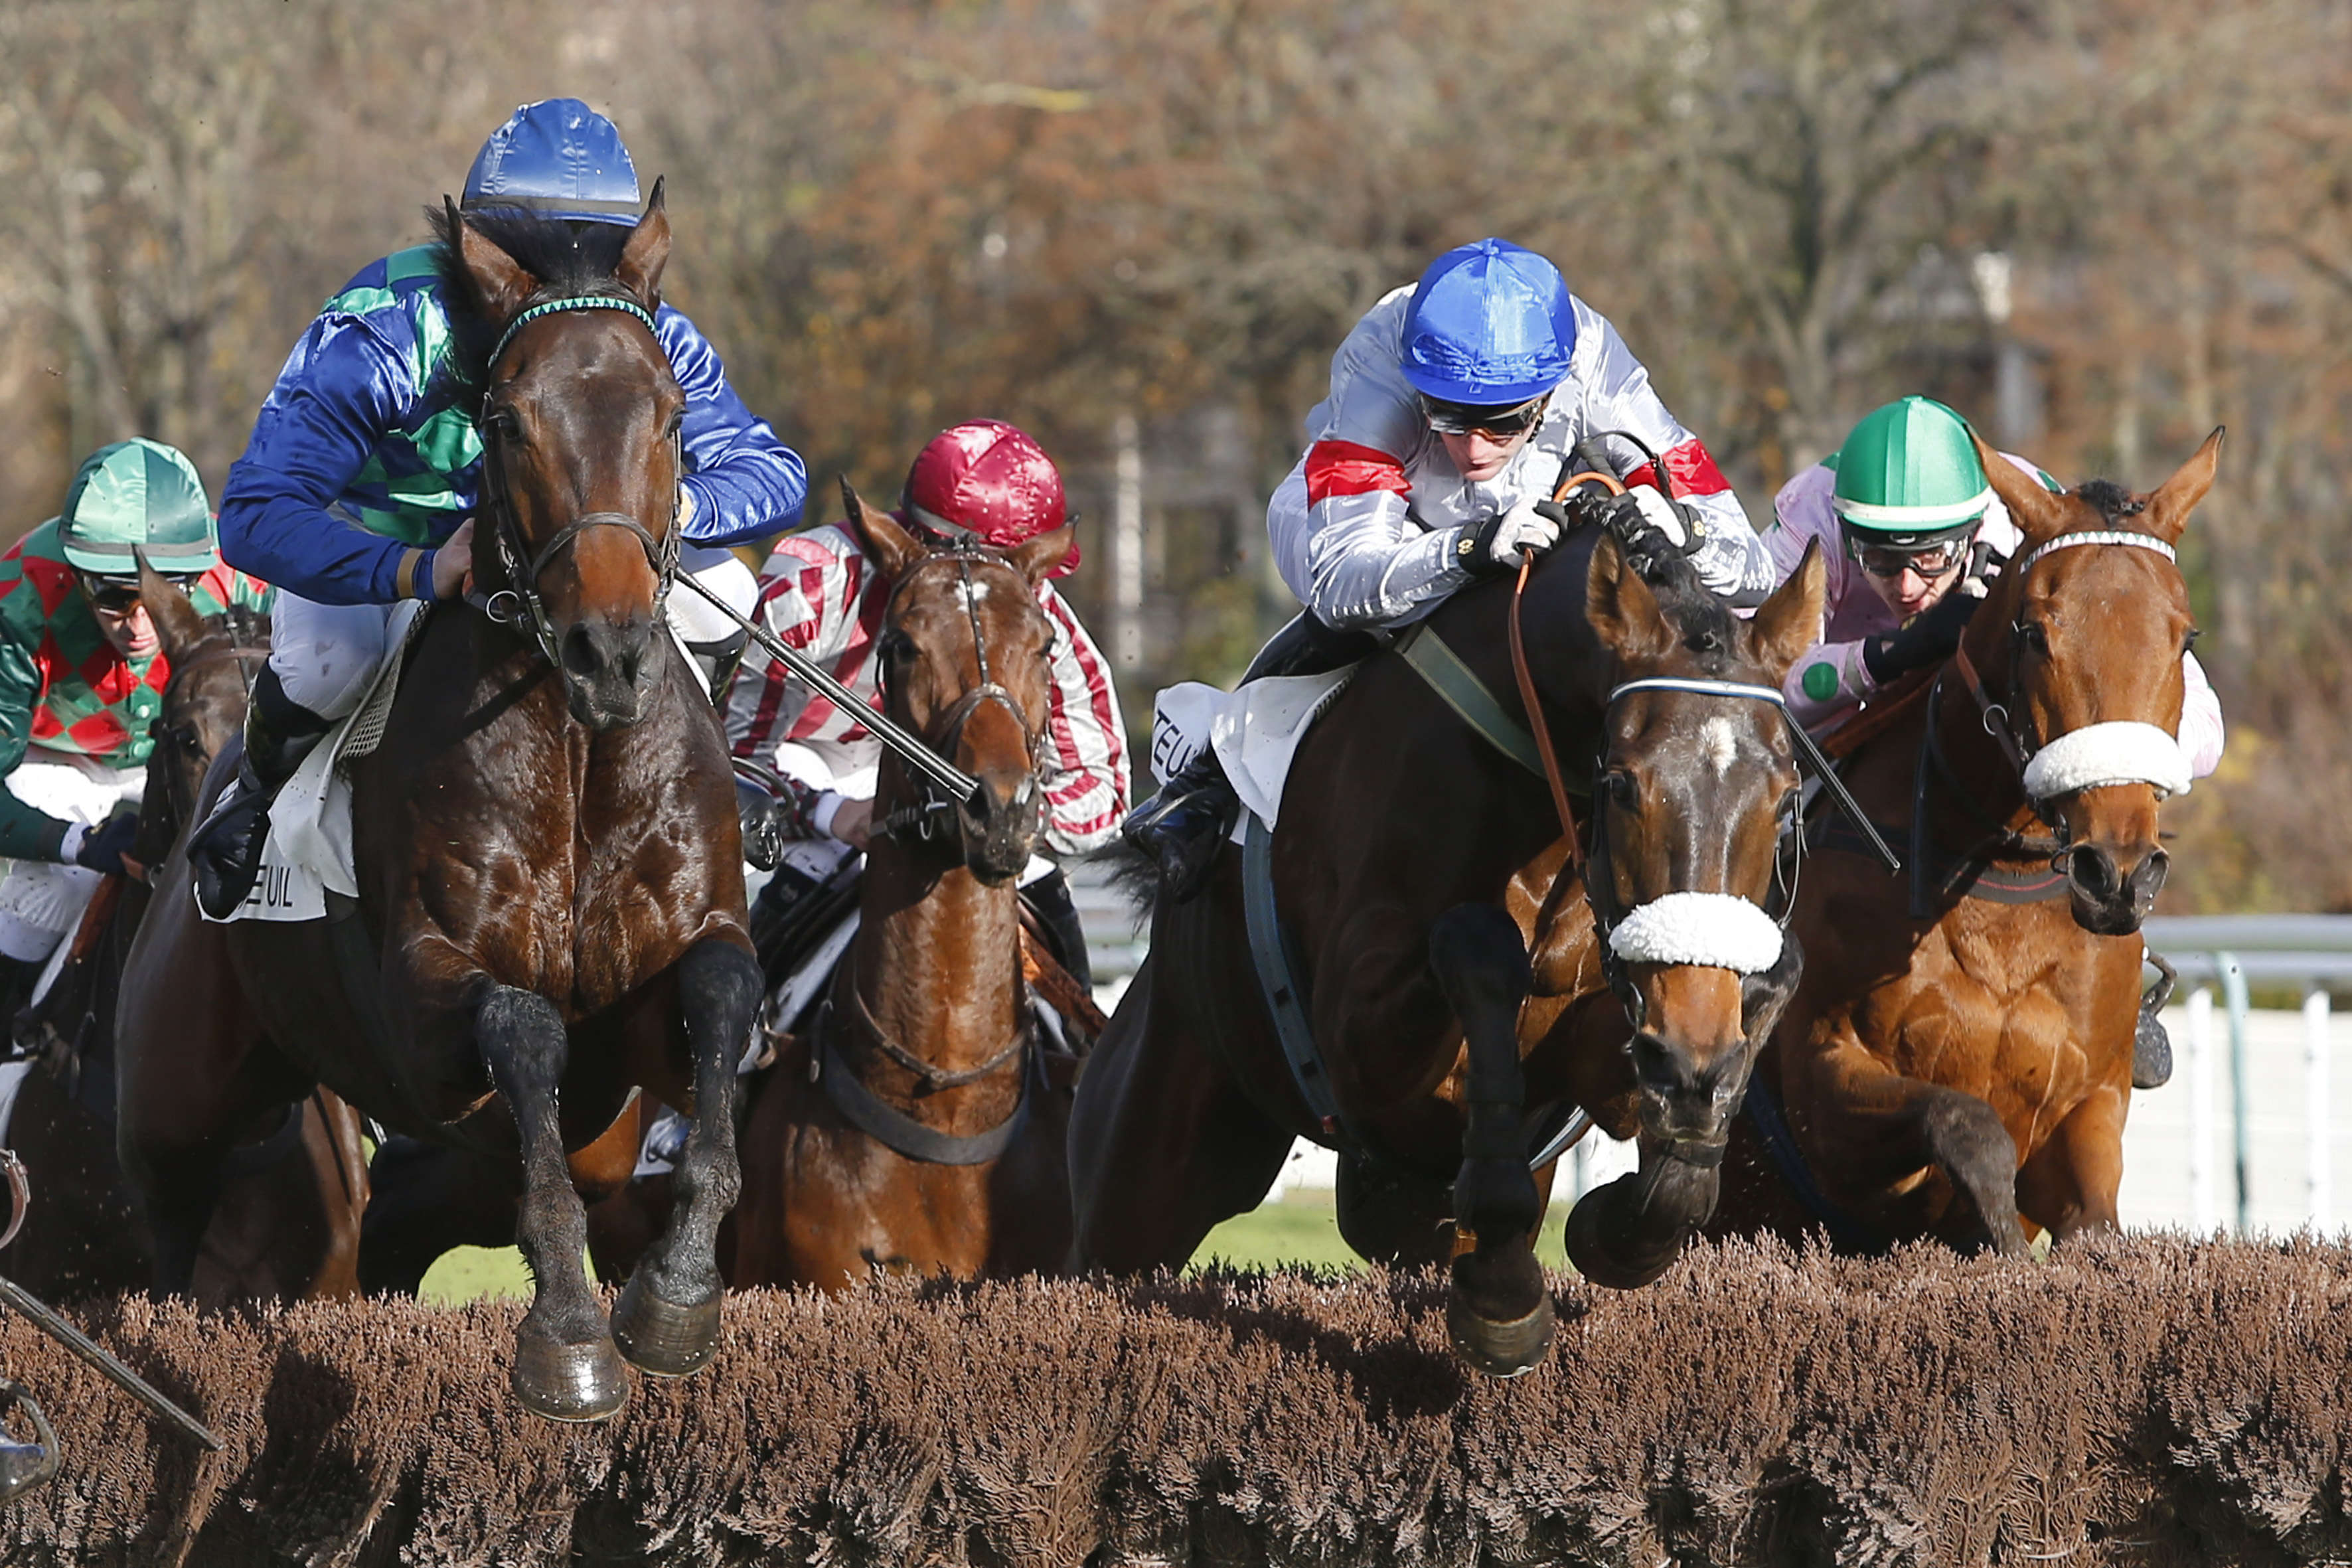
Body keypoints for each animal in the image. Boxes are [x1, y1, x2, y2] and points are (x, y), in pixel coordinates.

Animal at [119, 187, 752, 1419]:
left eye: (669, 414)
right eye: (507, 421)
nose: (609, 653)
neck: (574, 753)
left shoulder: (652, 1005)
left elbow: (716, 994)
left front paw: (673, 1300)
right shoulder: (423, 1012)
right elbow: (522, 1025)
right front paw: (568, 1335)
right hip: (175, 1097)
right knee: (168, 1226)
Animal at [1077, 526, 1825, 1373]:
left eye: (1786, 800)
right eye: (1621, 782)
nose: (1692, 1056)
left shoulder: (1607, 1045)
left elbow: (1779, 969)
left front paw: (1639, 1202)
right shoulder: (1357, 1048)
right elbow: (1475, 939)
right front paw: (1503, 1293)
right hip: (1146, 1168)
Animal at [1712, 432, 2220, 1260]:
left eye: (2185, 637)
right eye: (2036, 633)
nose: (2117, 873)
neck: (2000, 887)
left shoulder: (2090, 1102)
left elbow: (2094, 1223)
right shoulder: (1825, 1086)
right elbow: (1966, 1125)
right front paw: (2002, 1254)